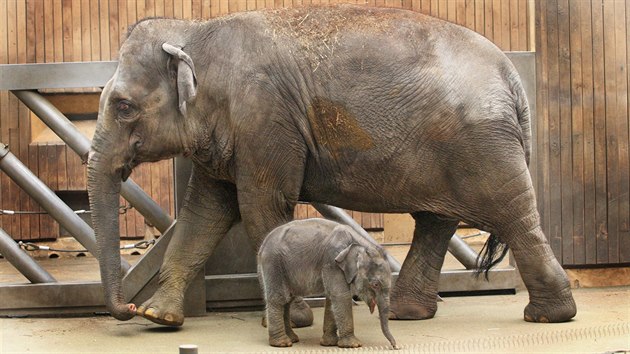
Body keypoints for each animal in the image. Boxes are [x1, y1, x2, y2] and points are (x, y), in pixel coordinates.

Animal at [87, 4, 576, 326]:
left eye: (124, 107)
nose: (127, 309)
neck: (196, 30)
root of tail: (509, 73)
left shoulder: (265, 118)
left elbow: (262, 206)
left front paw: (295, 319)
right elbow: (203, 215)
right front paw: (160, 318)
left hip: (483, 147)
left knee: (513, 216)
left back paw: (549, 316)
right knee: (435, 221)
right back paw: (409, 314)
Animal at [258, 218, 398, 348]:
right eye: (375, 284)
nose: (395, 346)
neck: (360, 245)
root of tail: (262, 245)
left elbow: (332, 297)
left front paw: (329, 343)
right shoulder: (332, 261)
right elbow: (340, 295)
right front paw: (353, 345)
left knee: (287, 300)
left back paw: (292, 339)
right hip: (274, 264)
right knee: (279, 298)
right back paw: (282, 343)